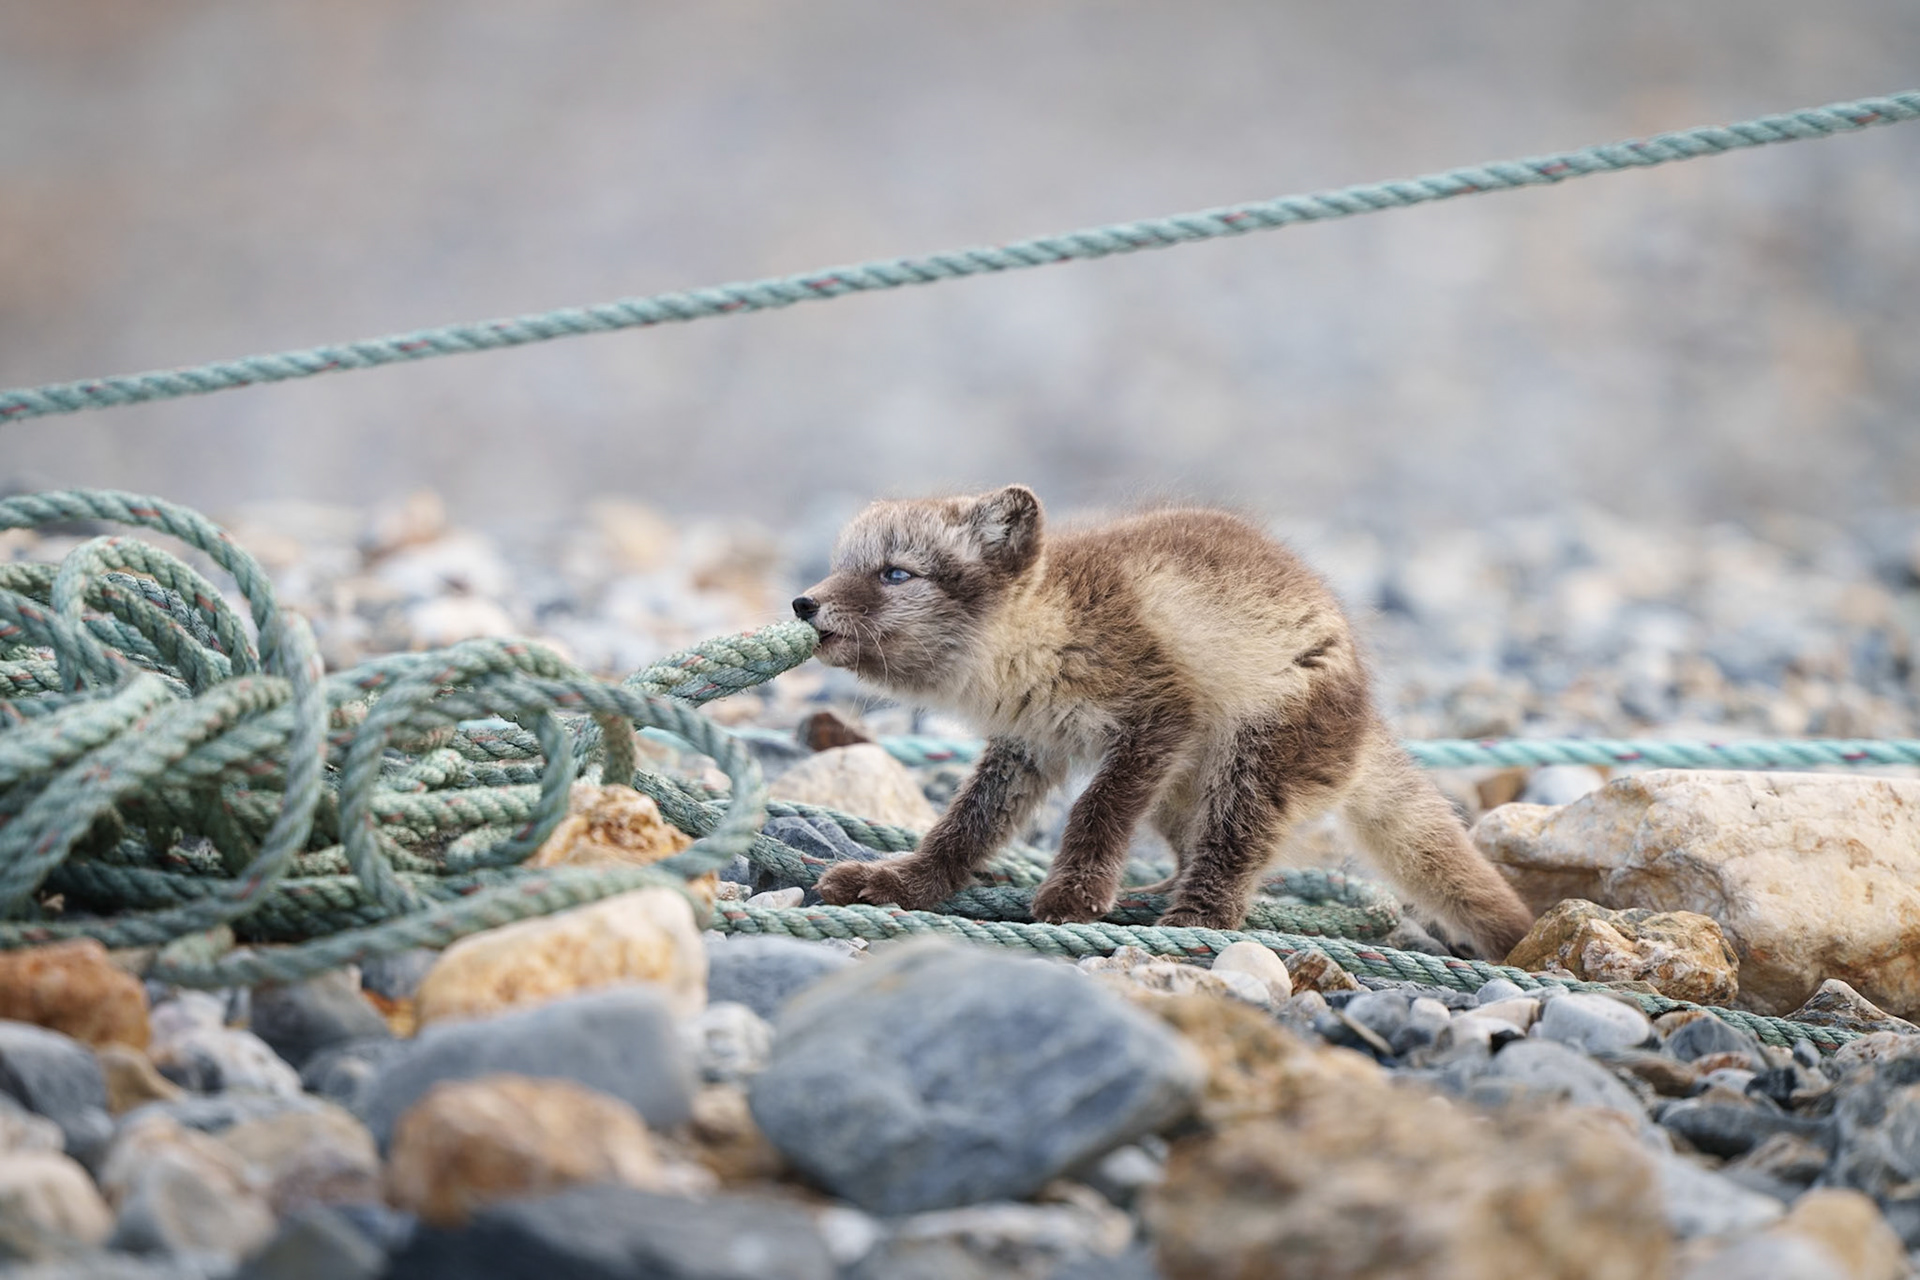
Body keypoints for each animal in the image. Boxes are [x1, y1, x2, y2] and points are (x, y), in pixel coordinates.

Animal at [791, 485, 1534, 958]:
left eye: (895, 574)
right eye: (841, 567)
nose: (802, 603)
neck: (1040, 630)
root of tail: (1365, 712)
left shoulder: (1159, 715)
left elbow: (1095, 808)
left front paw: (1075, 891)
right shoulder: (1026, 745)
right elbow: (966, 825)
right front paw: (905, 881)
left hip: (1252, 762)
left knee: (1232, 856)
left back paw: (1191, 921)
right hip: (1180, 795)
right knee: (1193, 848)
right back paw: (1157, 894)